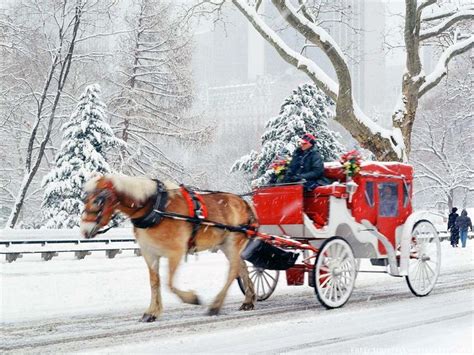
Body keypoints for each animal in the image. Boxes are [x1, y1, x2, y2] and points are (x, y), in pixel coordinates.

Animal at [79, 174, 258, 324]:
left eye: (98, 201)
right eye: (84, 199)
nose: (85, 231)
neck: (155, 208)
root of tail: (245, 204)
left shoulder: (176, 252)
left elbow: (169, 283)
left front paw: (191, 298)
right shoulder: (150, 253)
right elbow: (154, 282)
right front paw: (151, 312)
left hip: (233, 242)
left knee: (233, 271)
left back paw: (216, 305)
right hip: (225, 245)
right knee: (241, 267)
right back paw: (248, 300)